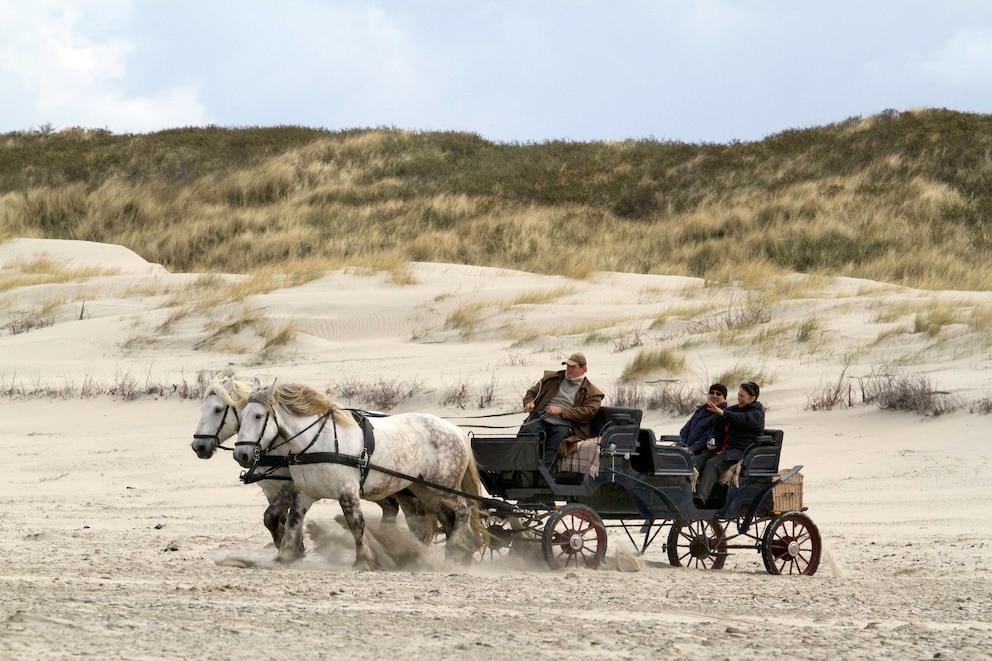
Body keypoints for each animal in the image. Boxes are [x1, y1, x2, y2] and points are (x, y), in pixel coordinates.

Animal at [192, 376, 428, 548]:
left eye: (218, 409)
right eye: (202, 409)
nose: (198, 446)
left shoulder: (290, 484)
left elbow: (273, 517)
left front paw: (296, 550)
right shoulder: (272, 488)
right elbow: (279, 519)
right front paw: (290, 548)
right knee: (394, 508)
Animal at [235, 382, 488, 568]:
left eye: (258, 416)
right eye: (241, 415)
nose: (241, 454)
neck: (317, 442)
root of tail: (454, 429)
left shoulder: (347, 490)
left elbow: (356, 523)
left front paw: (365, 560)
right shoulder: (305, 492)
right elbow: (293, 521)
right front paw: (285, 556)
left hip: (442, 485)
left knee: (464, 510)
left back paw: (455, 551)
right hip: (423, 489)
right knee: (447, 517)